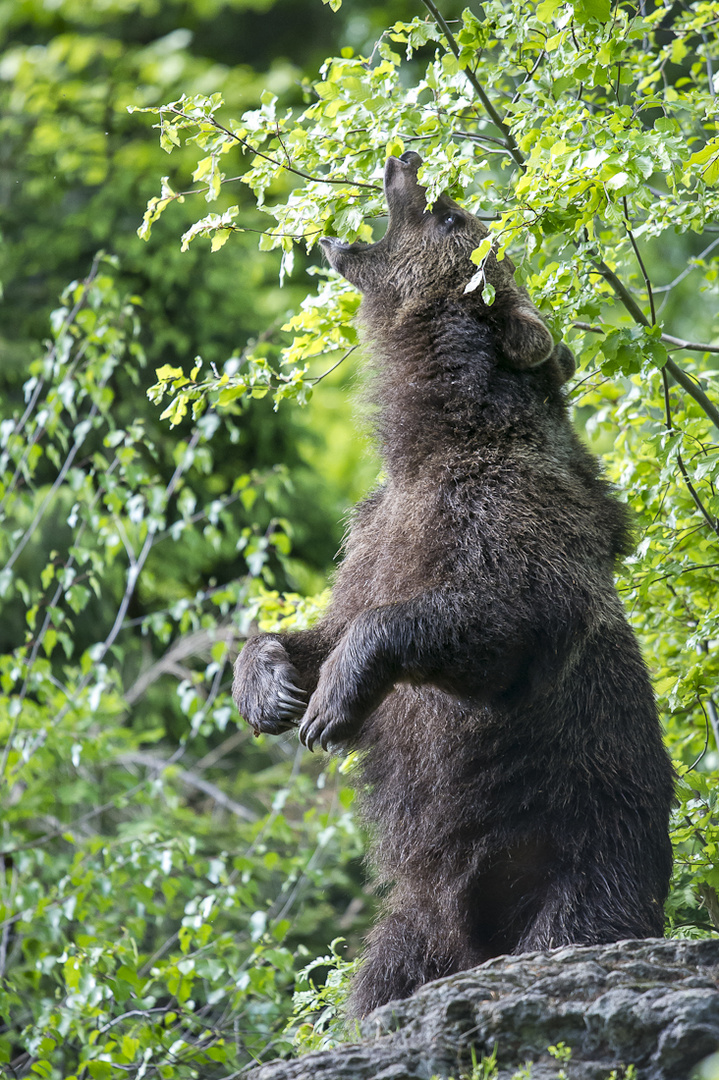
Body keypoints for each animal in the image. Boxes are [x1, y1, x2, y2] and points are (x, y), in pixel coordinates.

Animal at [234, 152, 673, 1019]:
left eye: (449, 216)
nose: (406, 160)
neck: (434, 437)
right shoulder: (371, 536)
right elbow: (325, 624)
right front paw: (274, 689)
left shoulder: (502, 519)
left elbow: (498, 620)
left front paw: (332, 700)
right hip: (419, 920)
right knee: (383, 976)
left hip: (584, 847)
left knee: (575, 925)